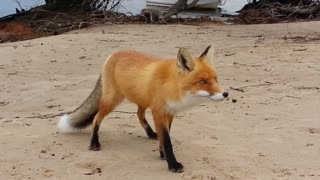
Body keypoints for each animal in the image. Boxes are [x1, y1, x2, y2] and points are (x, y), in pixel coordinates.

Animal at [57, 45, 228, 173]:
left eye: (216, 79)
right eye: (203, 81)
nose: (226, 94)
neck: (172, 86)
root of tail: (112, 55)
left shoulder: (169, 113)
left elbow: (164, 136)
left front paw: (162, 154)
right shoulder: (159, 112)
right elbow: (167, 141)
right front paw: (172, 164)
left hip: (142, 100)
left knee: (138, 113)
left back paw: (150, 133)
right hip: (112, 101)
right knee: (96, 119)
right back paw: (94, 143)